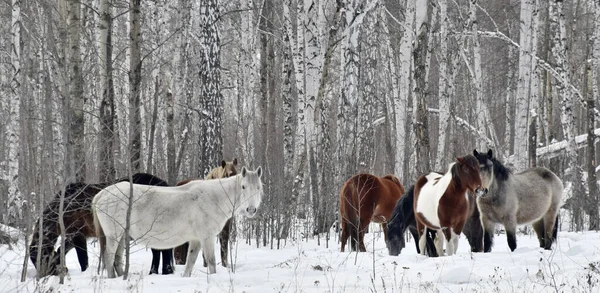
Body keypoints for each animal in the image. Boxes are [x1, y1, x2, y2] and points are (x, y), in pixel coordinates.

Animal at [28, 172, 173, 278]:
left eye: (42, 257)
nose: (43, 276)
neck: (66, 206)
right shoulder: (72, 236)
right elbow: (61, 251)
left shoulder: (78, 235)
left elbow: (83, 259)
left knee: (160, 251)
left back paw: (161, 272)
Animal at [92, 167, 262, 276]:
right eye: (243, 187)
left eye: (258, 188)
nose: (251, 210)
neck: (213, 198)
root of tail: (102, 194)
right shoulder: (207, 237)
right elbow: (212, 262)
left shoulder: (196, 239)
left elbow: (190, 262)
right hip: (114, 235)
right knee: (109, 257)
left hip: (122, 236)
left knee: (117, 259)